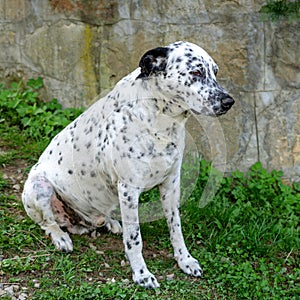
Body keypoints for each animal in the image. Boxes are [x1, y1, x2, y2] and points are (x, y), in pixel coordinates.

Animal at [22, 40, 234, 288]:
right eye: (196, 72)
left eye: (215, 72)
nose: (229, 101)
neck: (161, 121)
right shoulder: (129, 189)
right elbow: (135, 238)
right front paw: (141, 274)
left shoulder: (171, 184)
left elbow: (176, 228)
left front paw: (185, 260)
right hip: (39, 187)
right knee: (47, 223)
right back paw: (61, 237)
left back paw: (109, 222)